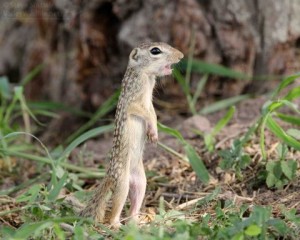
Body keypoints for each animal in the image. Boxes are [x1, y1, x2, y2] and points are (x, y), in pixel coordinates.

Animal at [80, 42, 183, 228]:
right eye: (155, 51)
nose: (181, 56)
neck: (145, 75)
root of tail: (109, 175)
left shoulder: (149, 102)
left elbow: (152, 112)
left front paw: (154, 132)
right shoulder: (134, 100)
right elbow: (144, 113)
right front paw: (153, 132)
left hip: (141, 181)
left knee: (134, 202)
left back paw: (137, 220)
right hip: (122, 184)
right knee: (116, 209)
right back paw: (116, 225)